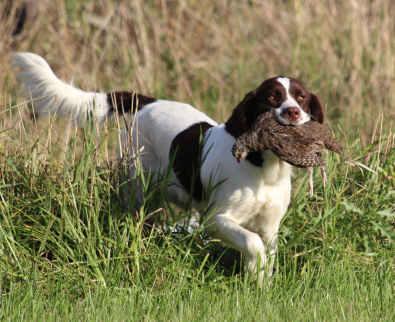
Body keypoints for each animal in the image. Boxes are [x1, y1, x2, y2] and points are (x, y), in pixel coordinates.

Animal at [13, 51, 326, 284]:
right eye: (272, 97)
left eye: (301, 97)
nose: (293, 112)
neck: (263, 169)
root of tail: (147, 102)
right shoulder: (217, 219)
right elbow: (252, 243)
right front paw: (254, 271)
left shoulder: (271, 227)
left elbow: (266, 253)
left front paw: (260, 283)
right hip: (138, 182)